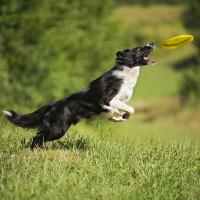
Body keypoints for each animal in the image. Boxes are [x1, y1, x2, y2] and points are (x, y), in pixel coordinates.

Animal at [1, 42, 156, 148]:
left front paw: (119, 118)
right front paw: (121, 117)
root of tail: (51, 105)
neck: (127, 71)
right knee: (37, 138)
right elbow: (130, 108)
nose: (152, 43)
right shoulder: (109, 100)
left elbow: (124, 111)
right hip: (58, 129)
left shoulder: (119, 102)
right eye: (139, 48)